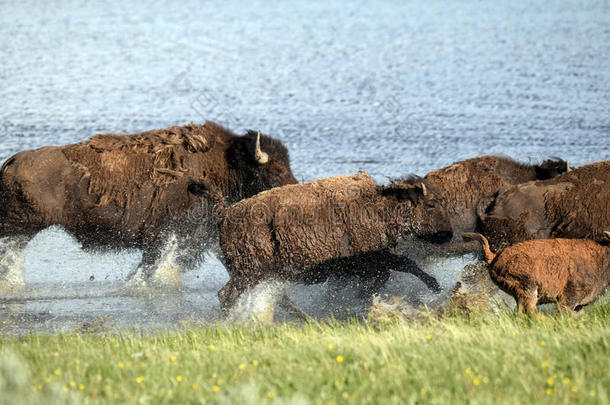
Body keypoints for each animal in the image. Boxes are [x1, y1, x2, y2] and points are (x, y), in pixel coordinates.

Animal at [0, 120, 294, 288]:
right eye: (276, 170)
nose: (292, 188)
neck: (225, 161)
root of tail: (13, 161)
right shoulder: (165, 235)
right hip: (19, 227)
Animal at [460, 230, 608, 316]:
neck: (601, 255)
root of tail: (496, 256)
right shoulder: (569, 297)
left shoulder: (580, 305)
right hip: (528, 288)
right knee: (530, 311)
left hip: (520, 294)